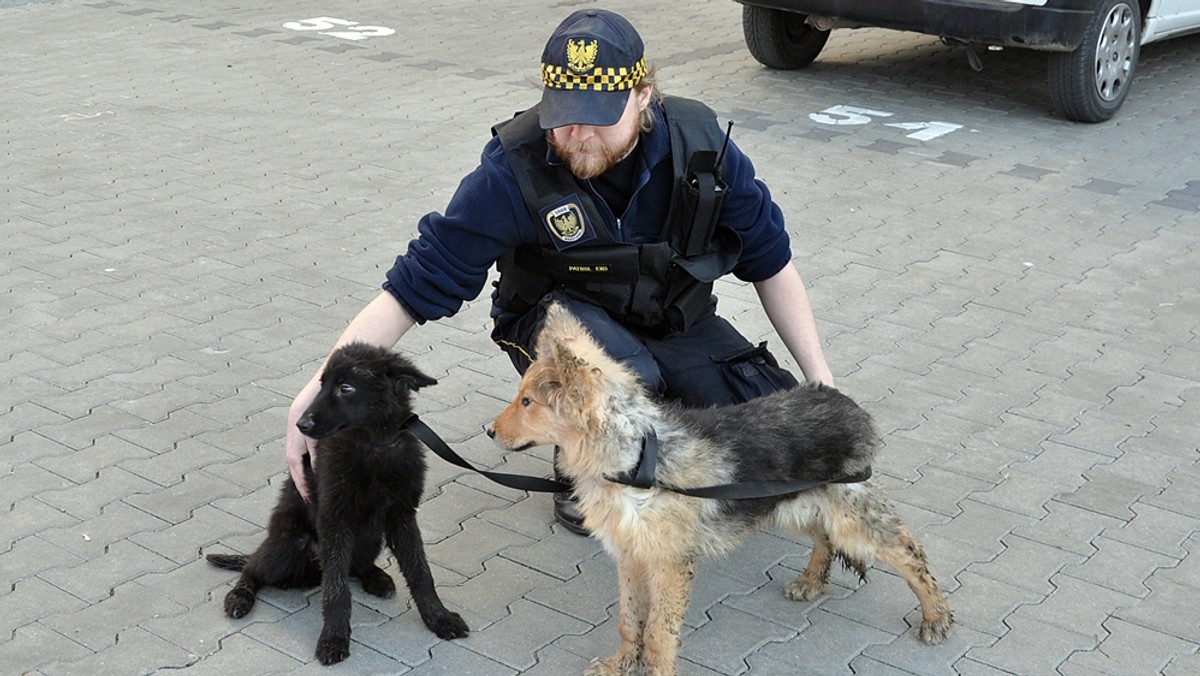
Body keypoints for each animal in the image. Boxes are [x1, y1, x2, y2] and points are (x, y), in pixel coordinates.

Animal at [206, 343, 468, 667]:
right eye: (321, 385)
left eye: (346, 388)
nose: (301, 424)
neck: (372, 445)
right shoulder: (334, 521)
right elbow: (336, 589)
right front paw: (333, 638)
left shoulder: (403, 517)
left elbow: (421, 573)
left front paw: (439, 619)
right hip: (291, 541)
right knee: (253, 567)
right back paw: (240, 596)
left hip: (370, 537)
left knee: (356, 566)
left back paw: (376, 577)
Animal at [489, 303, 955, 672]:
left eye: (528, 402)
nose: (490, 431)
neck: (636, 461)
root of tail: (843, 402)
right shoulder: (631, 556)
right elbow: (630, 621)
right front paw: (620, 665)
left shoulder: (669, 564)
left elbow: (658, 632)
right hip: (793, 505)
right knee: (824, 538)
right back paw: (811, 582)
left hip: (849, 516)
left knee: (910, 552)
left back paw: (935, 617)